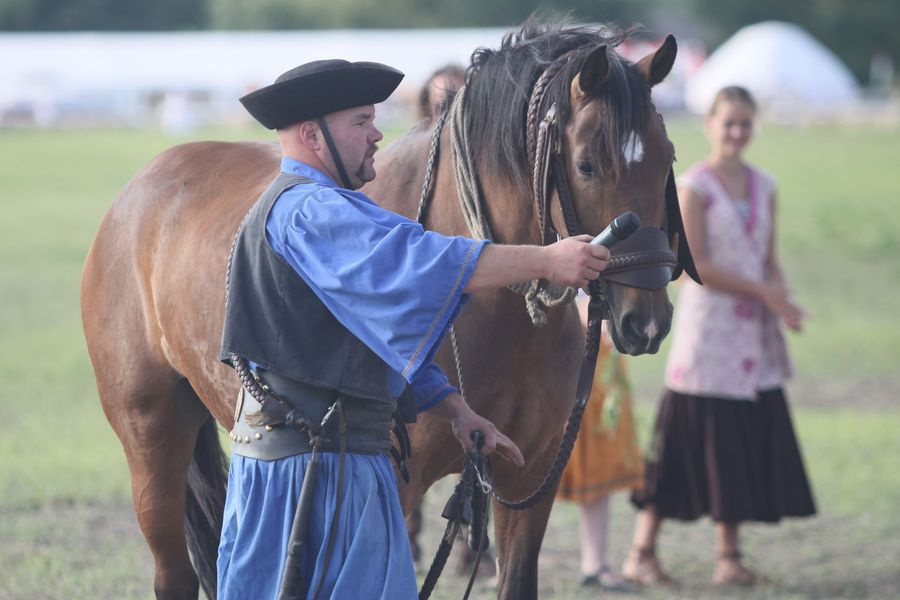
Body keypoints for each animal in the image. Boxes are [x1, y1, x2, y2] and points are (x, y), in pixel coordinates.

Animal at [82, 18, 688, 600]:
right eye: (586, 165)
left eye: (667, 158)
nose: (646, 321)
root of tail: (140, 191)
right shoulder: (396, 481)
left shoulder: (528, 479)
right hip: (151, 430)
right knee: (174, 574)